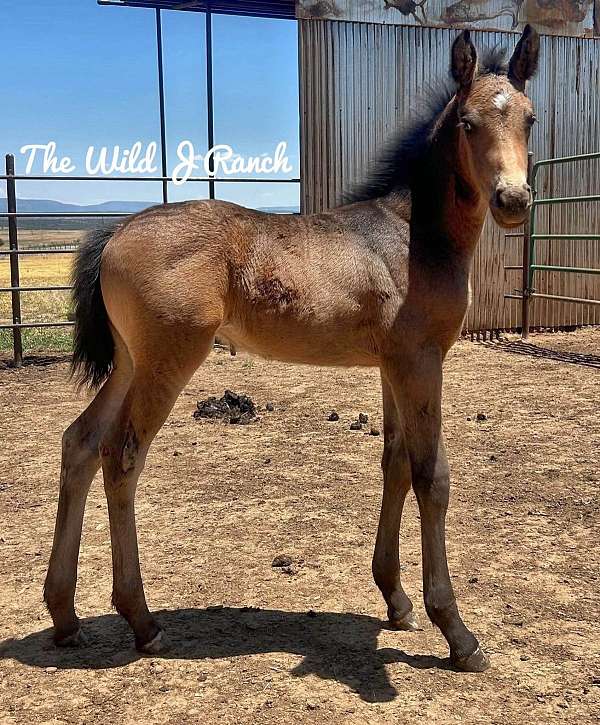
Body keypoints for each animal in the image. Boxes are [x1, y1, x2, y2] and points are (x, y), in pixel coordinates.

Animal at [44, 26, 539, 672]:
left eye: (530, 118)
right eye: (468, 123)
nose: (513, 200)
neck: (412, 235)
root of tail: (117, 230)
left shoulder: (392, 365)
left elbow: (395, 463)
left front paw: (396, 599)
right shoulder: (421, 360)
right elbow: (432, 475)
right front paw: (457, 632)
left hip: (131, 361)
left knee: (80, 442)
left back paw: (65, 615)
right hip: (168, 361)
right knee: (121, 456)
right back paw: (143, 621)